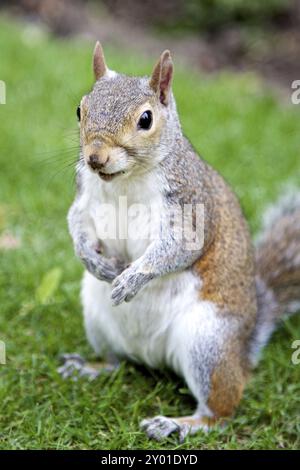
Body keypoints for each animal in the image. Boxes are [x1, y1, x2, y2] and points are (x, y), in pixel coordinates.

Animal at [60, 42, 300, 442]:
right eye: (80, 109)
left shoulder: (190, 206)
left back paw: (177, 423)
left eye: (146, 119)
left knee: (221, 413)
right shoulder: (84, 197)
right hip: (97, 317)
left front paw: (133, 277)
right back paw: (91, 367)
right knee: (117, 361)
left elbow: (179, 248)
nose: (95, 157)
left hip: (208, 343)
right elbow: (76, 223)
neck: (124, 179)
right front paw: (93, 261)